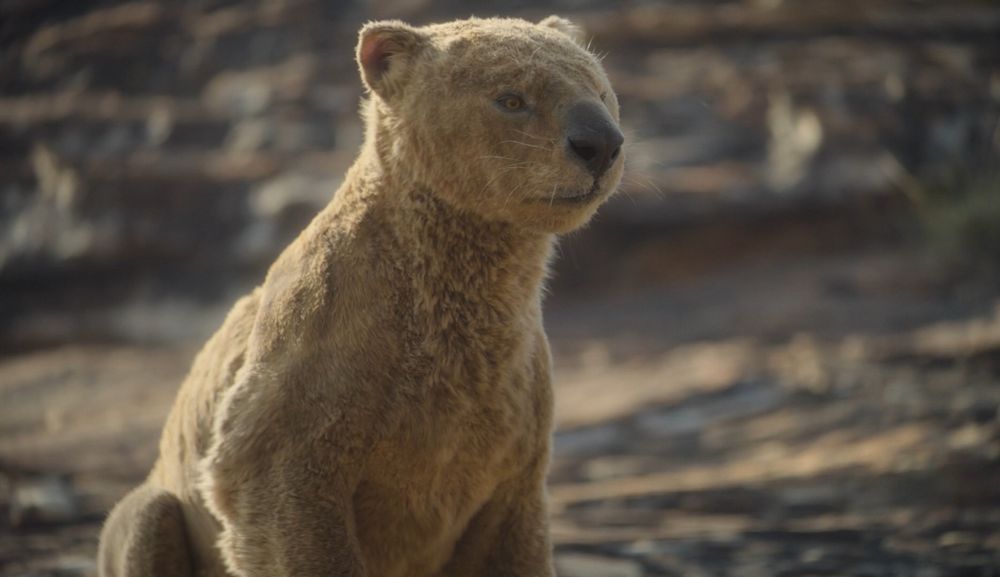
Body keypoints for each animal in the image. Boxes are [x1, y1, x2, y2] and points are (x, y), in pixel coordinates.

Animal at [98, 15, 624, 577]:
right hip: (157, 509)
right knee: (149, 517)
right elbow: (280, 501)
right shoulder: (317, 374)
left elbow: (510, 537)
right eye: (511, 97)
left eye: (599, 89)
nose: (599, 144)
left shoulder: (511, 428)